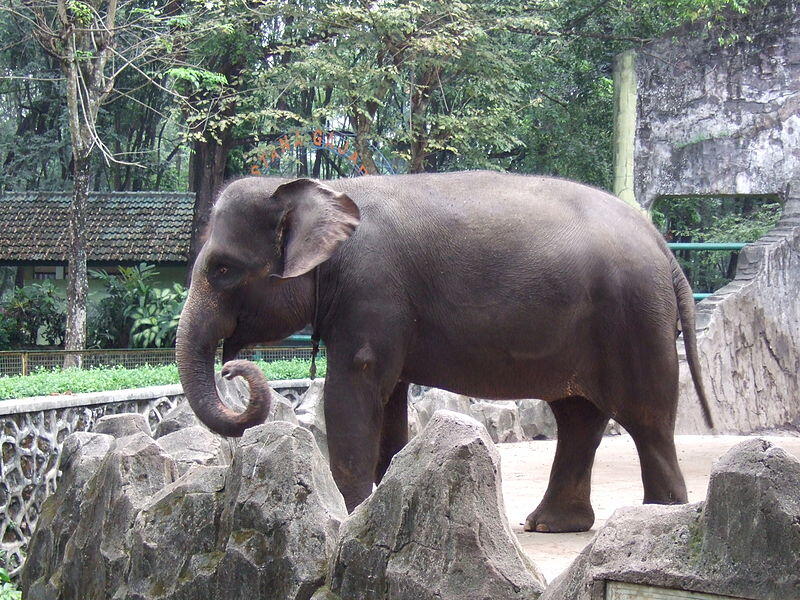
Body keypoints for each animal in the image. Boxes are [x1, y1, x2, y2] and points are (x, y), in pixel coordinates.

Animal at [177, 170, 712, 536]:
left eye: (223, 269)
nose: (233, 367)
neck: (328, 191)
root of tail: (664, 248)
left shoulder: (371, 292)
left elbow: (354, 388)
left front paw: (348, 518)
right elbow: (388, 401)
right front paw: (379, 502)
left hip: (635, 320)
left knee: (646, 417)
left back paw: (659, 517)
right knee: (579, 416)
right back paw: (550, 525)